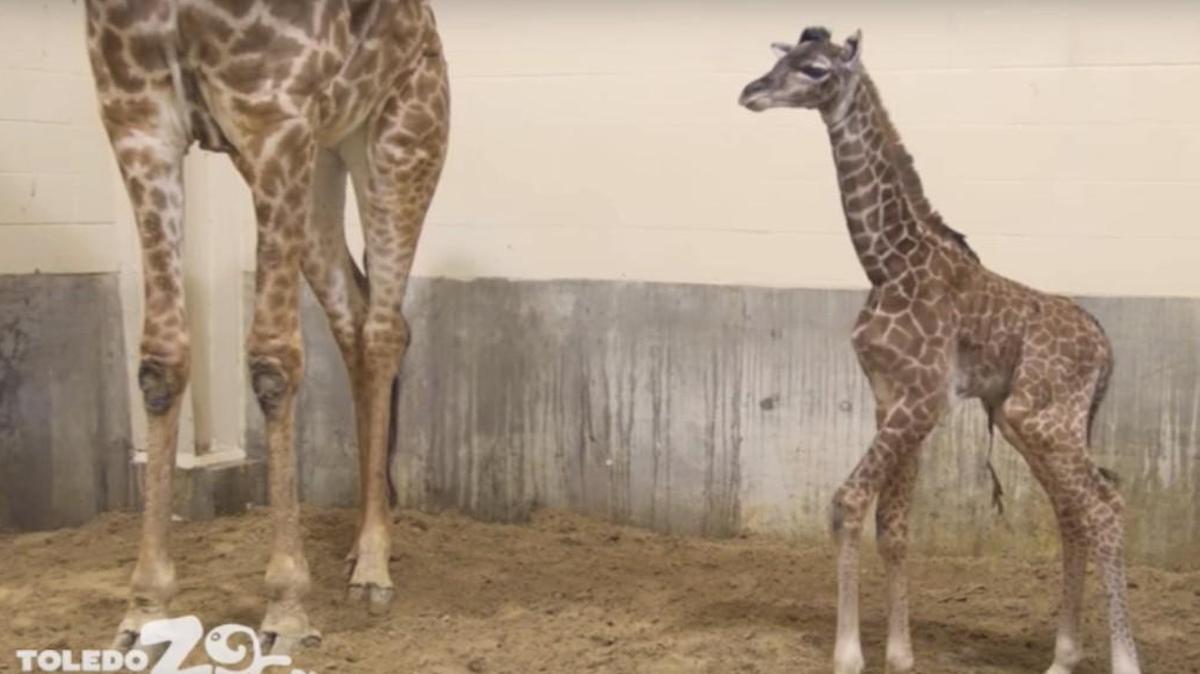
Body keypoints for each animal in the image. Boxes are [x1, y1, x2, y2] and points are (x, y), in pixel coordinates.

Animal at [85, 0, 449, 654]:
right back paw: (359, 544)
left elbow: (273, 361)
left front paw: (286, 610)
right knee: (354, 319)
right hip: (320, 160)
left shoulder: (276, 115)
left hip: (402, 139)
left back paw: (374, 566)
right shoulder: (136, 117)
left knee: (384, 329)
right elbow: (160, 359)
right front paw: (144, 610)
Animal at [740, 28, 1140, 674]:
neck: (886, 264)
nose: (751, 91)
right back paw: (1062, 657)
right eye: (780, 59)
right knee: (1073, 513)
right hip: (1027, 419)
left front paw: (849, 654)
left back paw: (1123, 659)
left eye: (815, 68)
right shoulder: (891, 397)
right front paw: (901, 654)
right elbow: (894, 525)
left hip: (1041, 416)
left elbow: (849, 501)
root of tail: (1106, 347)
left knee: (1105, 505)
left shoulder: (923, 400)